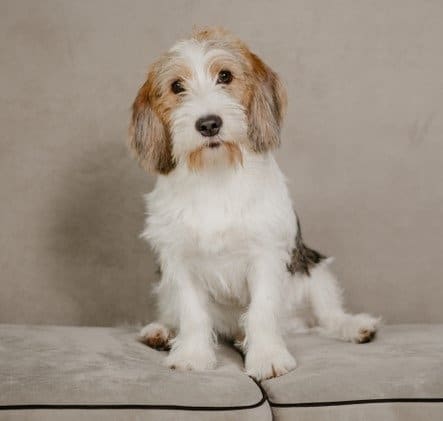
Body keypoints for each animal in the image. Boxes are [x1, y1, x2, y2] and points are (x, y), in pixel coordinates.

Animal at [129, 27, 382, 380]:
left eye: (225, 75)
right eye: (177, 86)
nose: (209, 124)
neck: (215, 174)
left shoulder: (266, 253)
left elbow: (262, 310)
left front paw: (267, 357)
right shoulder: (178, 260)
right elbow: (192, 313)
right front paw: (192, 354)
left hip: (313, 269)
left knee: (327, 316)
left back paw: (355, 326)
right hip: (165, 286)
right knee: (174, 314)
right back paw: (161, 332)